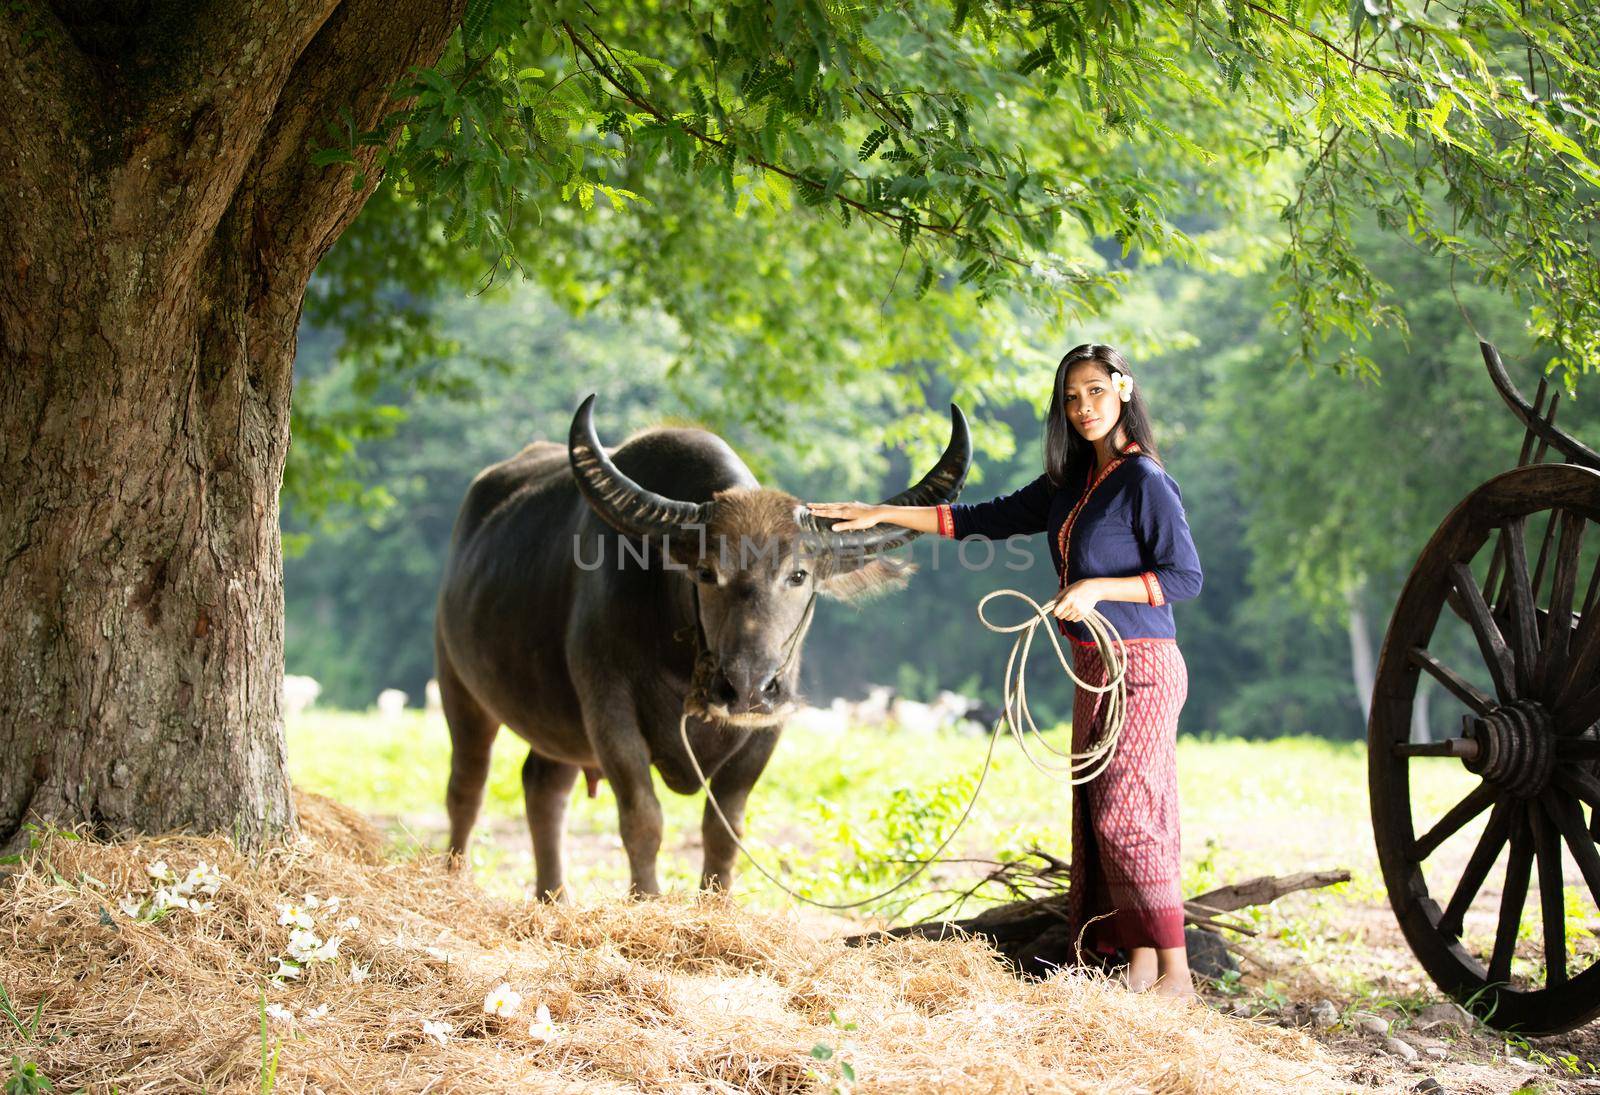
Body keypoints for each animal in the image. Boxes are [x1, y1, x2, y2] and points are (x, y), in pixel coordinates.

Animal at [432, 395, 966, 896]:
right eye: (707, 573)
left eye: (798, 575)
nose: (747, 688)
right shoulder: (608, 712)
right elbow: (643, 820)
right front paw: (647, 902)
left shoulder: (768, 729)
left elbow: (725, 832)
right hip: (458, 688)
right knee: (467, 787)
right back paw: (455, 878)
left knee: (543, 787)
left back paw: (554, 899)